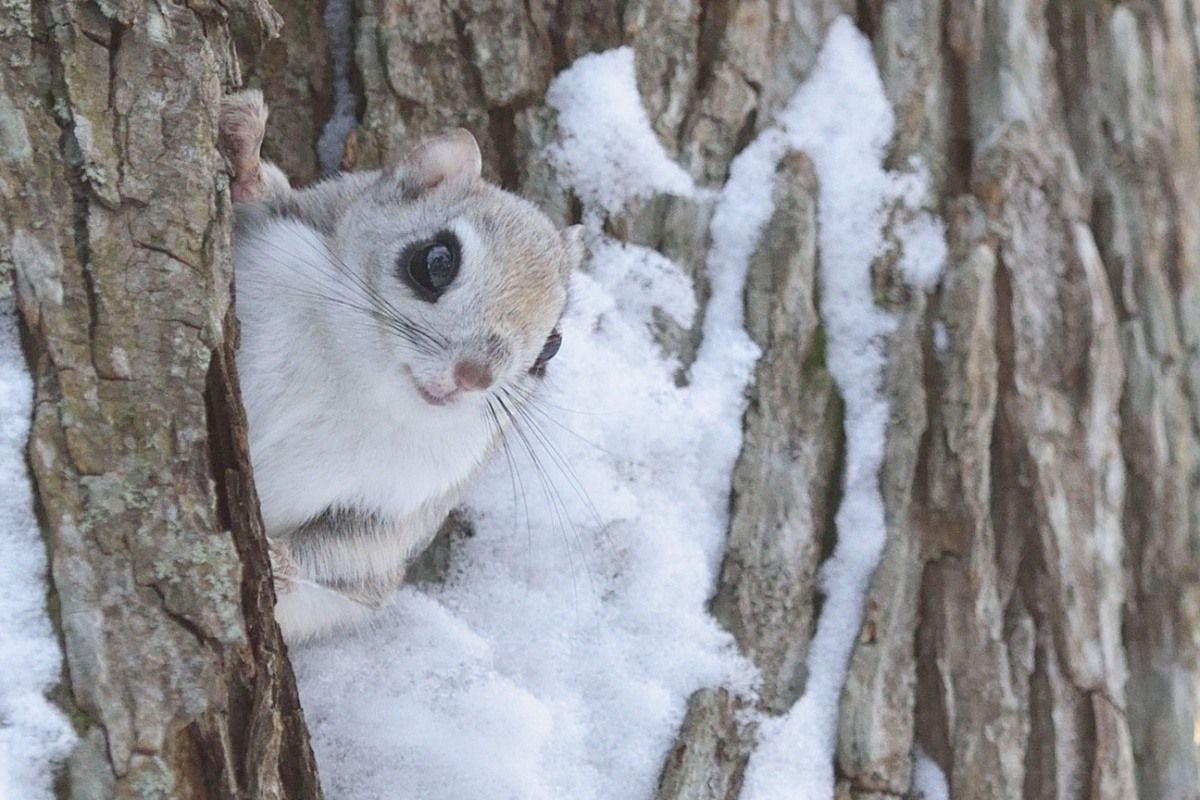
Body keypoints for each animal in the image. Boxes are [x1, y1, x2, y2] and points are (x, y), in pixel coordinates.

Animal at [218, 90, 584, 642]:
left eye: (551, 349)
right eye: (435, 261)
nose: (474, 377)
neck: (362, 378)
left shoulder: (412, 498)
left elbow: (353, 547)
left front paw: (281, 562)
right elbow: (263, 198)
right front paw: (242, 146)